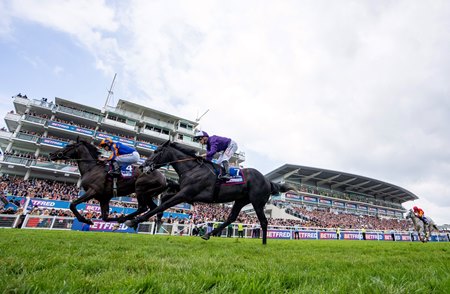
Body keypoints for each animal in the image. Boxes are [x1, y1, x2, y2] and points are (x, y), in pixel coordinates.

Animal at [48, 138, 176, 225]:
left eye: (68, 145)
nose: (51, 154)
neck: (92, 168)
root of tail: (165, 178)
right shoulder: (103, 198)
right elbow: (105, 217)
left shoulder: (93, 190)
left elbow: (72, 204)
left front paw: (85, 220)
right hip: (148, 194)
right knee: (153, 208)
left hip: (140, 188)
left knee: (142, 208)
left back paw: (126, 219)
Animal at [125, 140, 294, 243]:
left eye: (157, 151)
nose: (143, 166)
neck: (192, 169)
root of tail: (267, 180)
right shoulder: (185, 193)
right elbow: (165, 199)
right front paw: (153, 217)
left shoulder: (185, 194)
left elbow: (163, 205)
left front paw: (133, 220)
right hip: (241, 200)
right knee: (231, 218)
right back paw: (207, 234)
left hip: (257, 202)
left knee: (264, 221)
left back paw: (264, 243)